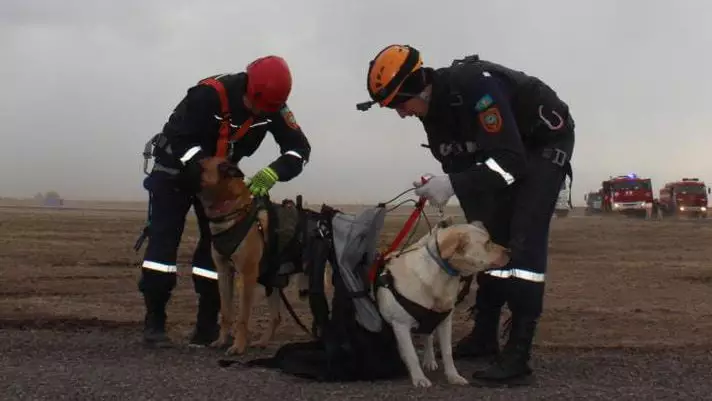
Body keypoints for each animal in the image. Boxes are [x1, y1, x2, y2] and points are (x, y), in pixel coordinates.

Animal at [197, 158, 284, 354]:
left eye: (199, 165)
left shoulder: (247, 275)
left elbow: (242, 316)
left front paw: (238, 346)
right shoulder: (224, 272)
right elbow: (226, 312)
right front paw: (221, 340)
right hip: (272, 282)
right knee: (276, 317)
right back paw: (262, 342)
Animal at [376, 220, 508, 386]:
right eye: (487, 242)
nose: (510, 251)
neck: (440, 275)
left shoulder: (445, 321)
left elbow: (447, 352)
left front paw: (453, 376)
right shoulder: (401, 325)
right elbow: (412, 354)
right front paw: (419, 378)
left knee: (427, 337)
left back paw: (429, 360)